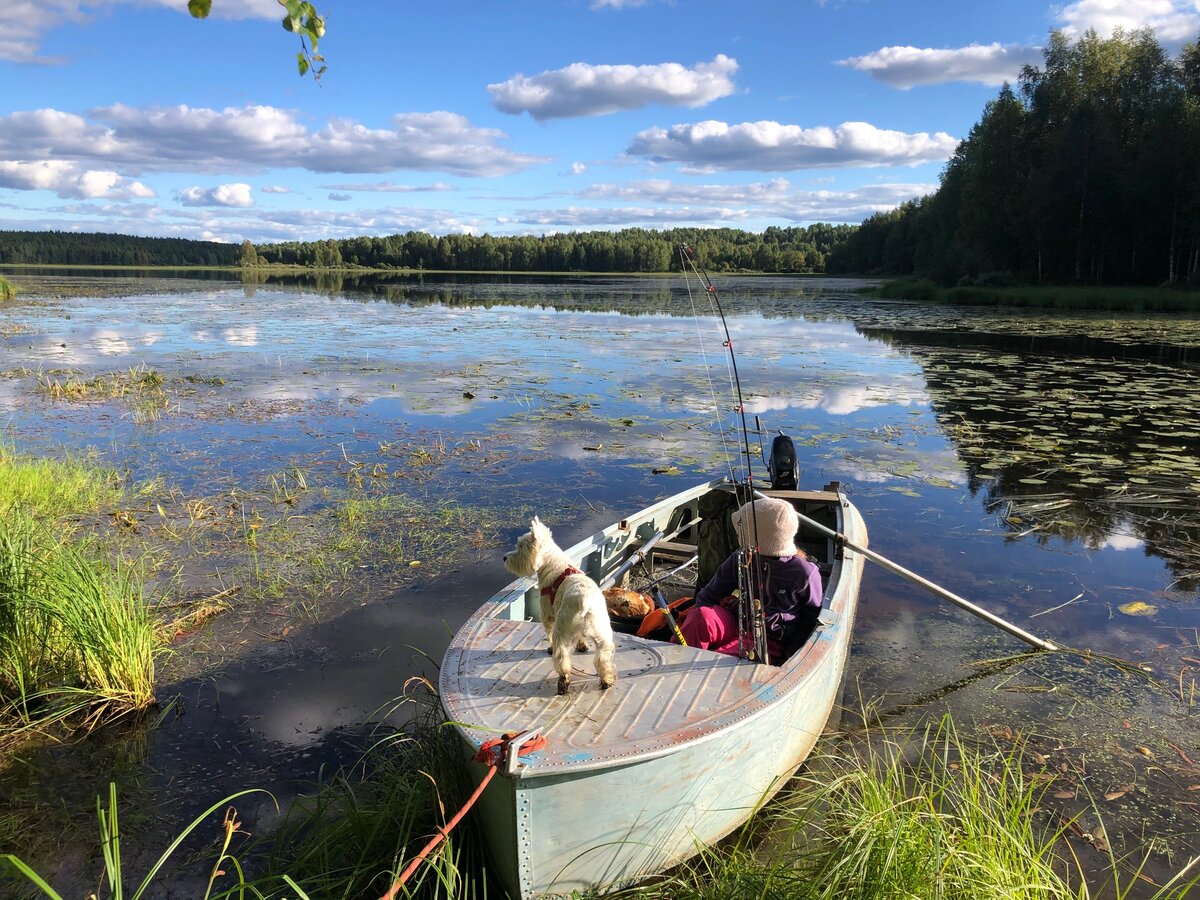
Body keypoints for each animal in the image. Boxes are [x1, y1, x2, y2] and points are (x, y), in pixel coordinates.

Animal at [504, 518, 619, 696]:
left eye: (520, 547)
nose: (504, 558)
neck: (553, 564)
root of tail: (585, 601)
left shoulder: (546, 614)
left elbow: (548, 632)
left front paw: (550, 647)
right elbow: (580, 638)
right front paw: (582, 646)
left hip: (562, 632)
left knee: (562, 659)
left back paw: (563, 684)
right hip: (604, 636)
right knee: (603, 660)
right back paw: (606, 680)